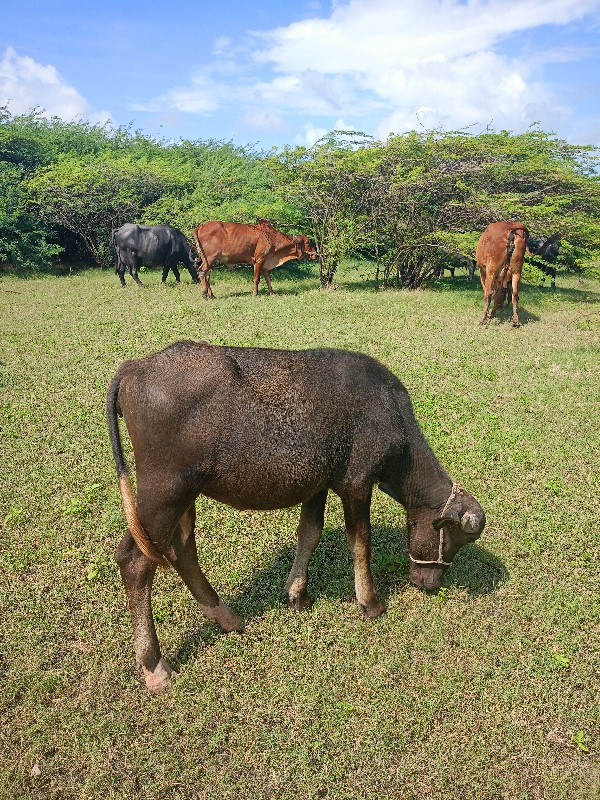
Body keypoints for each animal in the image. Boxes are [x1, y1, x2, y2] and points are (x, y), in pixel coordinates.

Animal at [106, 340, 482, 692]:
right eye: (449, 540)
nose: (430, 583)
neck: (391, 414)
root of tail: (134, 368)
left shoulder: (318, 484)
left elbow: (310, 533)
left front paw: (297, 594)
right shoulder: (356, 483)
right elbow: (360, 542)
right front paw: (370, 602)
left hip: (185, 495)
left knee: (182, 548)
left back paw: (226, 617)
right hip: (164, 491)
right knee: (135, 560)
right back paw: (155, 666)